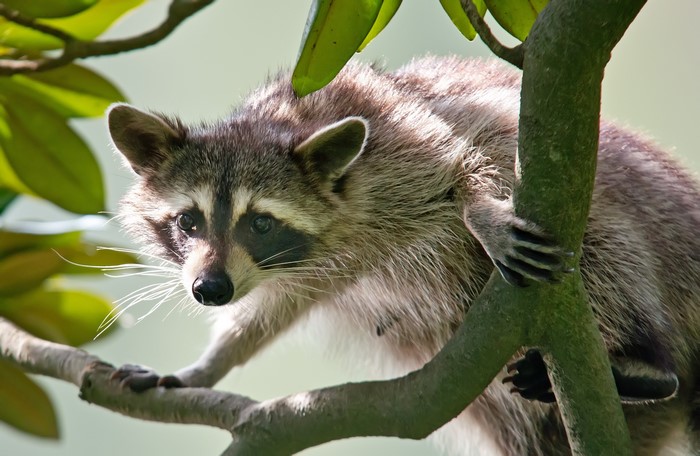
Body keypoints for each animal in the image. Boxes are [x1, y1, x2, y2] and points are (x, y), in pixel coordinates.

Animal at [107, 56, 700, 455]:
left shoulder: (396, 139)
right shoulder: (309, 268)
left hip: (649, 229)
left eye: (261, 223)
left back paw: (646, 362)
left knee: (606, 242)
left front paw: (479, 211)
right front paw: (205, 367)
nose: (209, 289)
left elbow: (468, 158)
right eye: (189, 221)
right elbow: (274, 311)